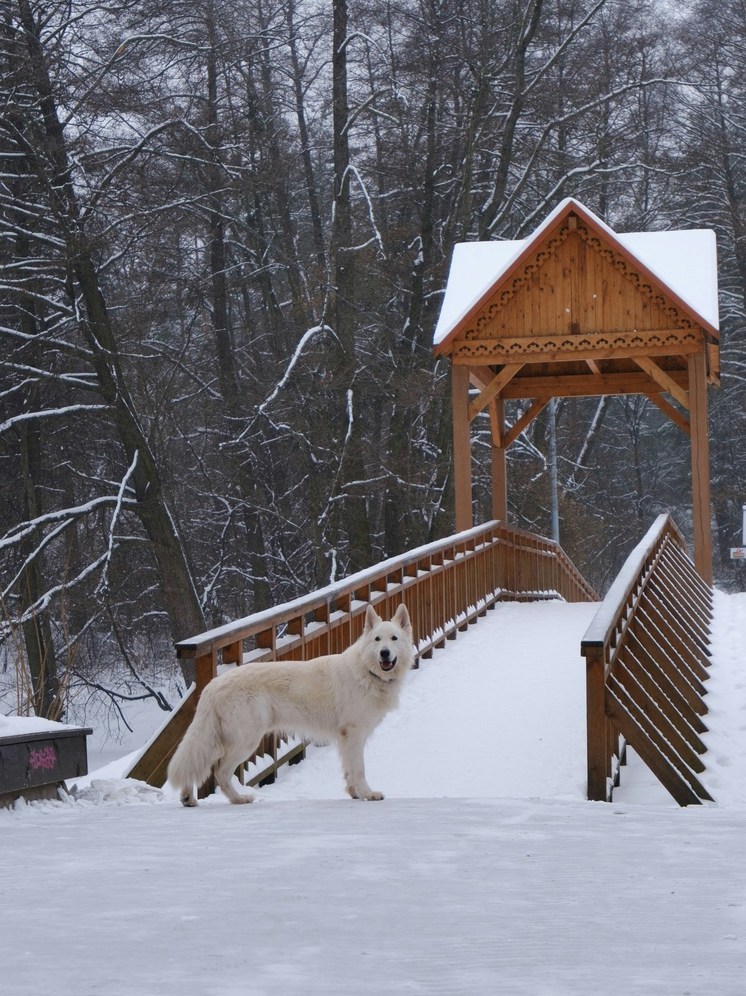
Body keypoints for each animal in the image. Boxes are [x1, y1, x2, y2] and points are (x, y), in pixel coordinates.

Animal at [167, 604, 412, 804]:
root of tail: (213, 684)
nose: (385, 653)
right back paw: (239, 799)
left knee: (198, 763)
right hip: (246, 740)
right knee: (219, 772)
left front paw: (354, 792)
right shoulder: (353, 734)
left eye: (394, 638)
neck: (367, 671)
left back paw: (188, 797)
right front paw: (367, 794)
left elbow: (349, 770)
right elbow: (359, 769)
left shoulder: (346, 738)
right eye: (377, 639)